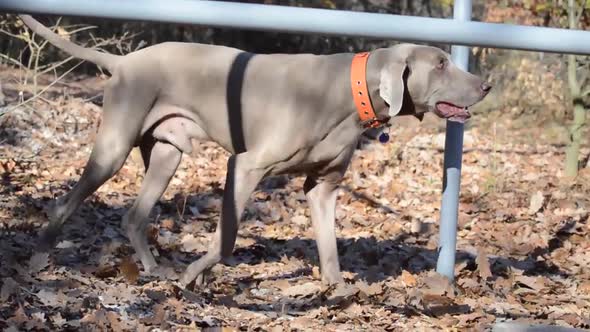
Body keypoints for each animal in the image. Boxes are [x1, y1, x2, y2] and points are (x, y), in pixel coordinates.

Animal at [20, 14, 492, 286]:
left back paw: (152, 270)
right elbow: (228, 237)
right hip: (115, 146)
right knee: (65, 202)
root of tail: (122, 61)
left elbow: (329, 247)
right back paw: (39, 260)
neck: (350, 93)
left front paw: (337, 291)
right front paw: (194, 276)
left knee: (133, 216)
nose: (486, 86)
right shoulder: (246, 166)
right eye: (441, 64)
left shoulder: (323, 187)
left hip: (168, 153)